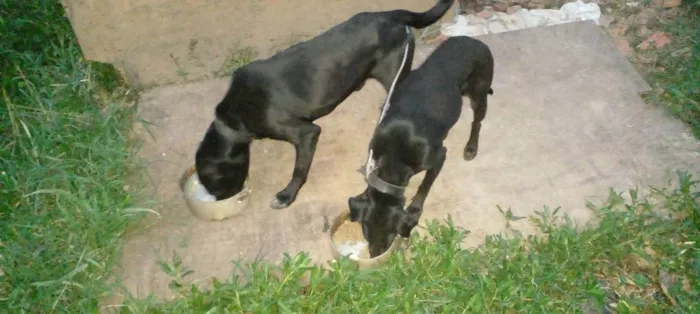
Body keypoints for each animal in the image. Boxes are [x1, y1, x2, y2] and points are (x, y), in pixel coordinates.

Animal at [193, 0, 454, 211]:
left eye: (214, 183)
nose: (220, 200)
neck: (233, 120)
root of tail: (392, 14)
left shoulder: (306, 133)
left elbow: (299, 169)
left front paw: (287, 195)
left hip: (394, 72)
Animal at [348, 36, 492, 258]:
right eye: (366, 231)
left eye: (392, 235)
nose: (376, 256)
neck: (394, 154)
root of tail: (474, 40)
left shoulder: (438, 157)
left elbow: (425, 185)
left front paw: (415, 209)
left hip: (480, 91)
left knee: (477, 121)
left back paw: (471, 147)